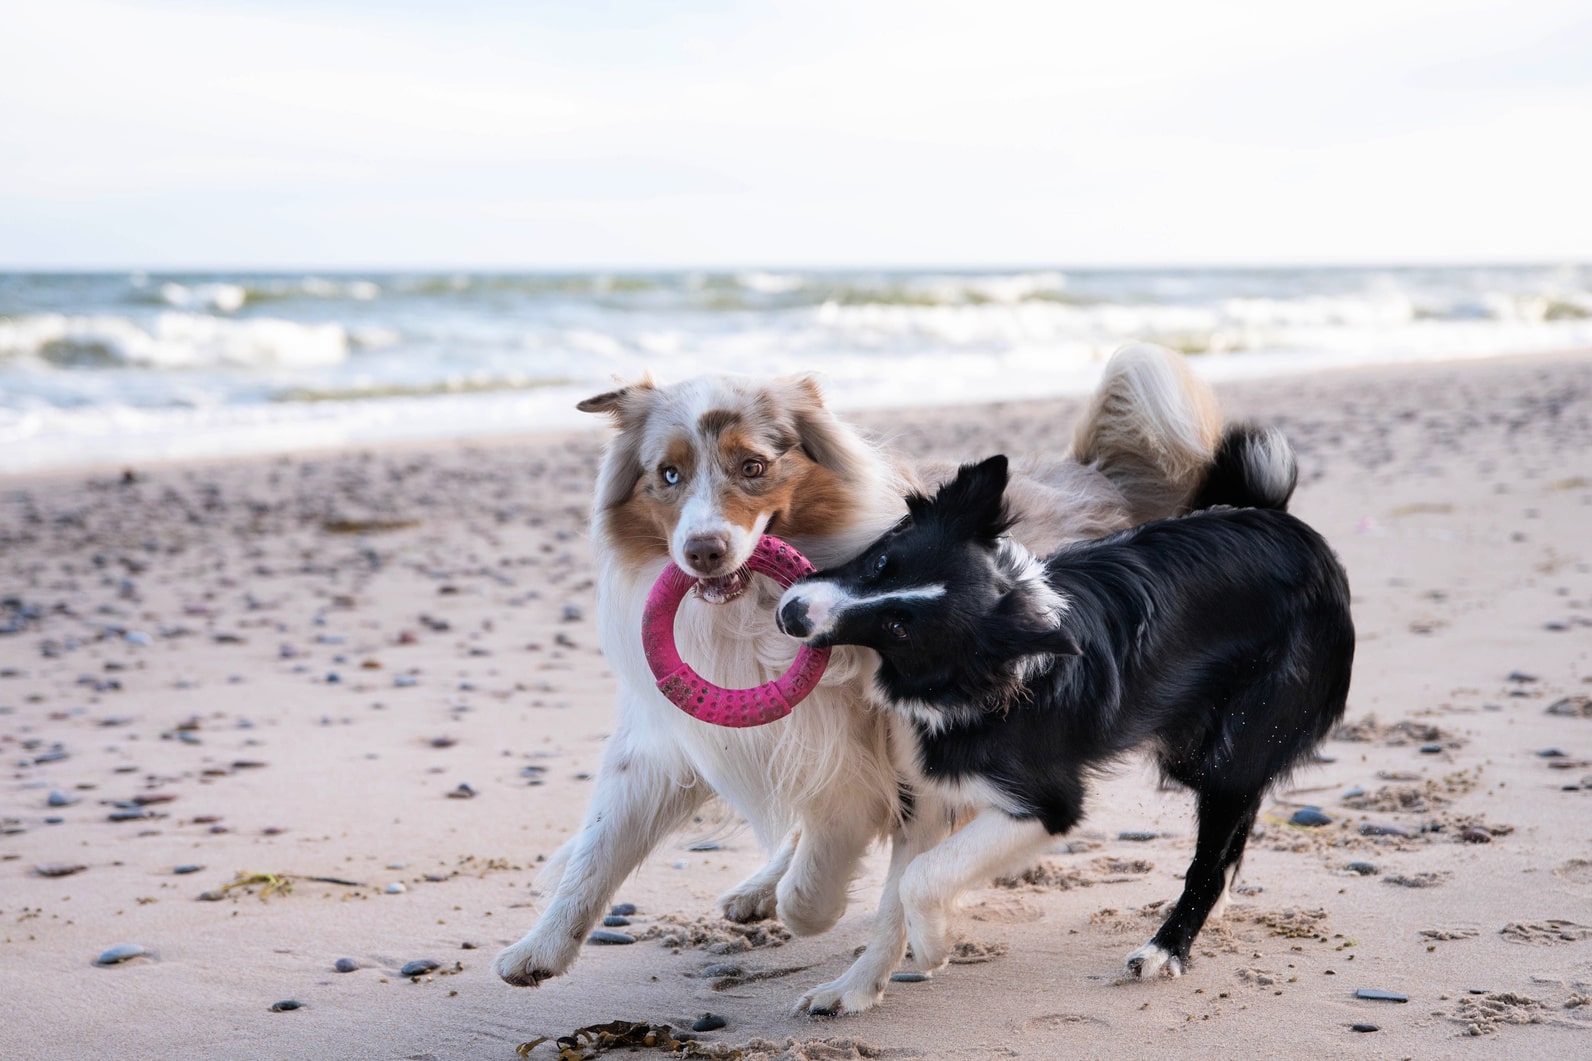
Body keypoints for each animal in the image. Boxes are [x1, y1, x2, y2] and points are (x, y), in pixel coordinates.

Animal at [490, 342, 1222, 1013]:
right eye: (668, 474)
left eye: (753, 466)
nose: (703, 552)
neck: (751, 619)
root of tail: (1092, 479)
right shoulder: (673, 740)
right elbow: (602, 845)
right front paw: (538, 949)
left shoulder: (885, 766)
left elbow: (833, 875)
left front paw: (831, 916)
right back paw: (756, 890)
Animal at [776, 423, 1350, 1006]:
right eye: (881, 563)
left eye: (900, 628)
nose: (791, 614)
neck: (980, 675)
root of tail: (1290, 527)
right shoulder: (929, 795)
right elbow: (894, 897)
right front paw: (854, 989)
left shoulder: (1048, 804)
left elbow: (922, 875)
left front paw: (933, 945)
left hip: (1230, 744)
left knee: (1212, 852)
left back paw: (1165, 949)